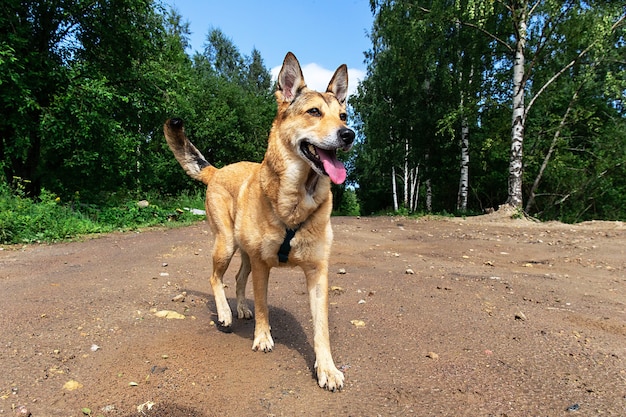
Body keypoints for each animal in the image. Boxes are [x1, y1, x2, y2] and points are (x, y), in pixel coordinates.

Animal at [163, 52, 354, 390]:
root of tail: (217, 170)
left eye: (343, 115)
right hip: (226, 245)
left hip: (245, 254)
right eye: (314, 112)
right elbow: (263, 305)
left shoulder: (317, 272)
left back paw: (239, 307)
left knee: (239, 279)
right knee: (215, 278)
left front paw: (327, 368)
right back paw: (225, 313)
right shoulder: (263, 266)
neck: (296, 201)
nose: (349, 135)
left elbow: (322, 328)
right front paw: (263, 338)